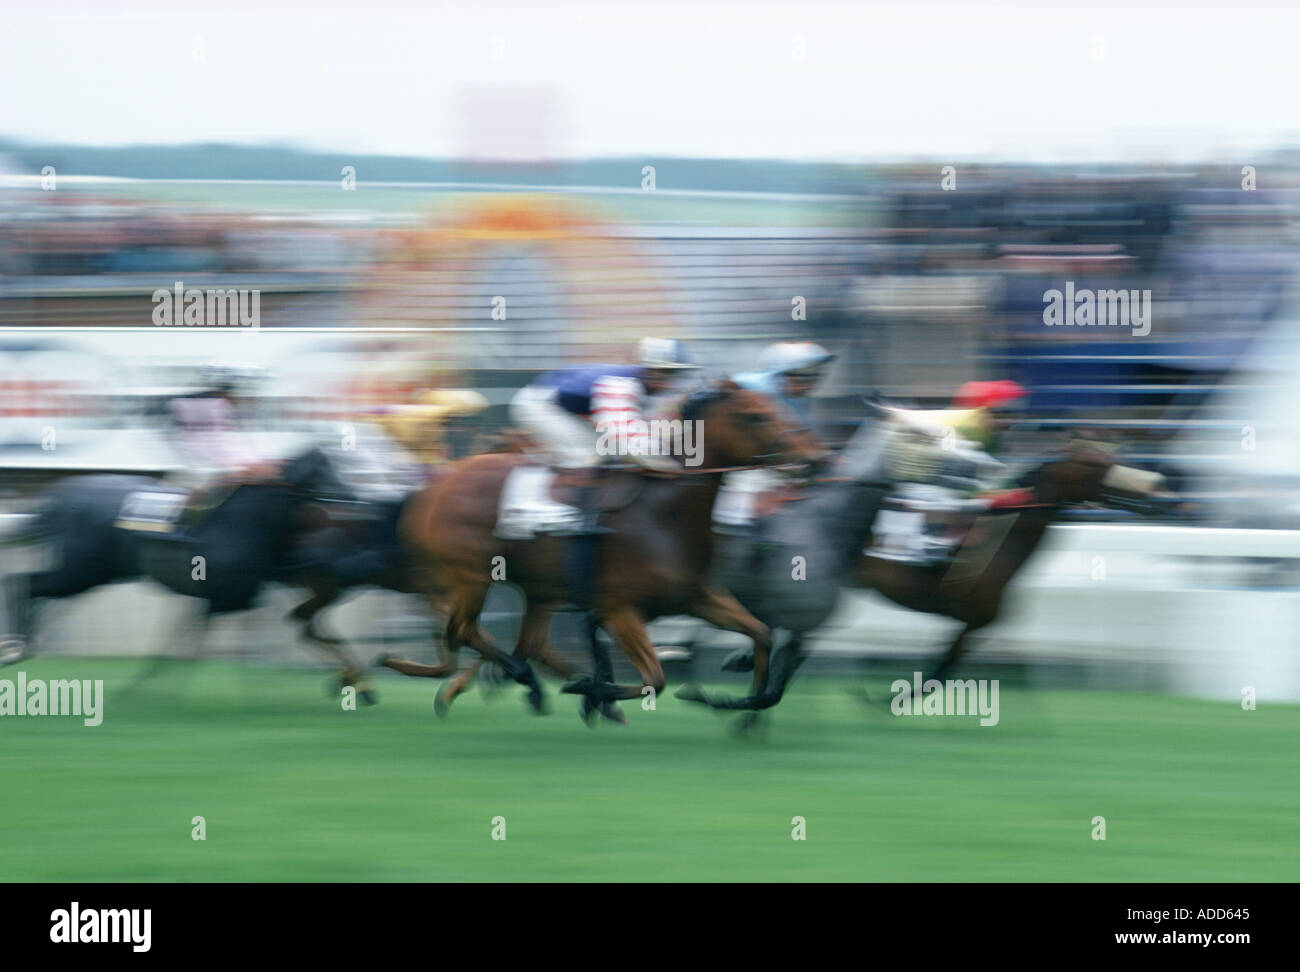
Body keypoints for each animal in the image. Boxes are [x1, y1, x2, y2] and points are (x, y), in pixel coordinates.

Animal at [379, 379, 821, 712]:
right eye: (755, 415)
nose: (814, 457)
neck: (665, 514)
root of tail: (434, 484)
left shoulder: (695, 596)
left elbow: (762, 638)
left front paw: (730, 695)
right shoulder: (618, 608)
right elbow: (655, 680)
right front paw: (591, 691)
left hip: (537, 588)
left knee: (524, 643)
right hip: (472, 576)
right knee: (464, 632)